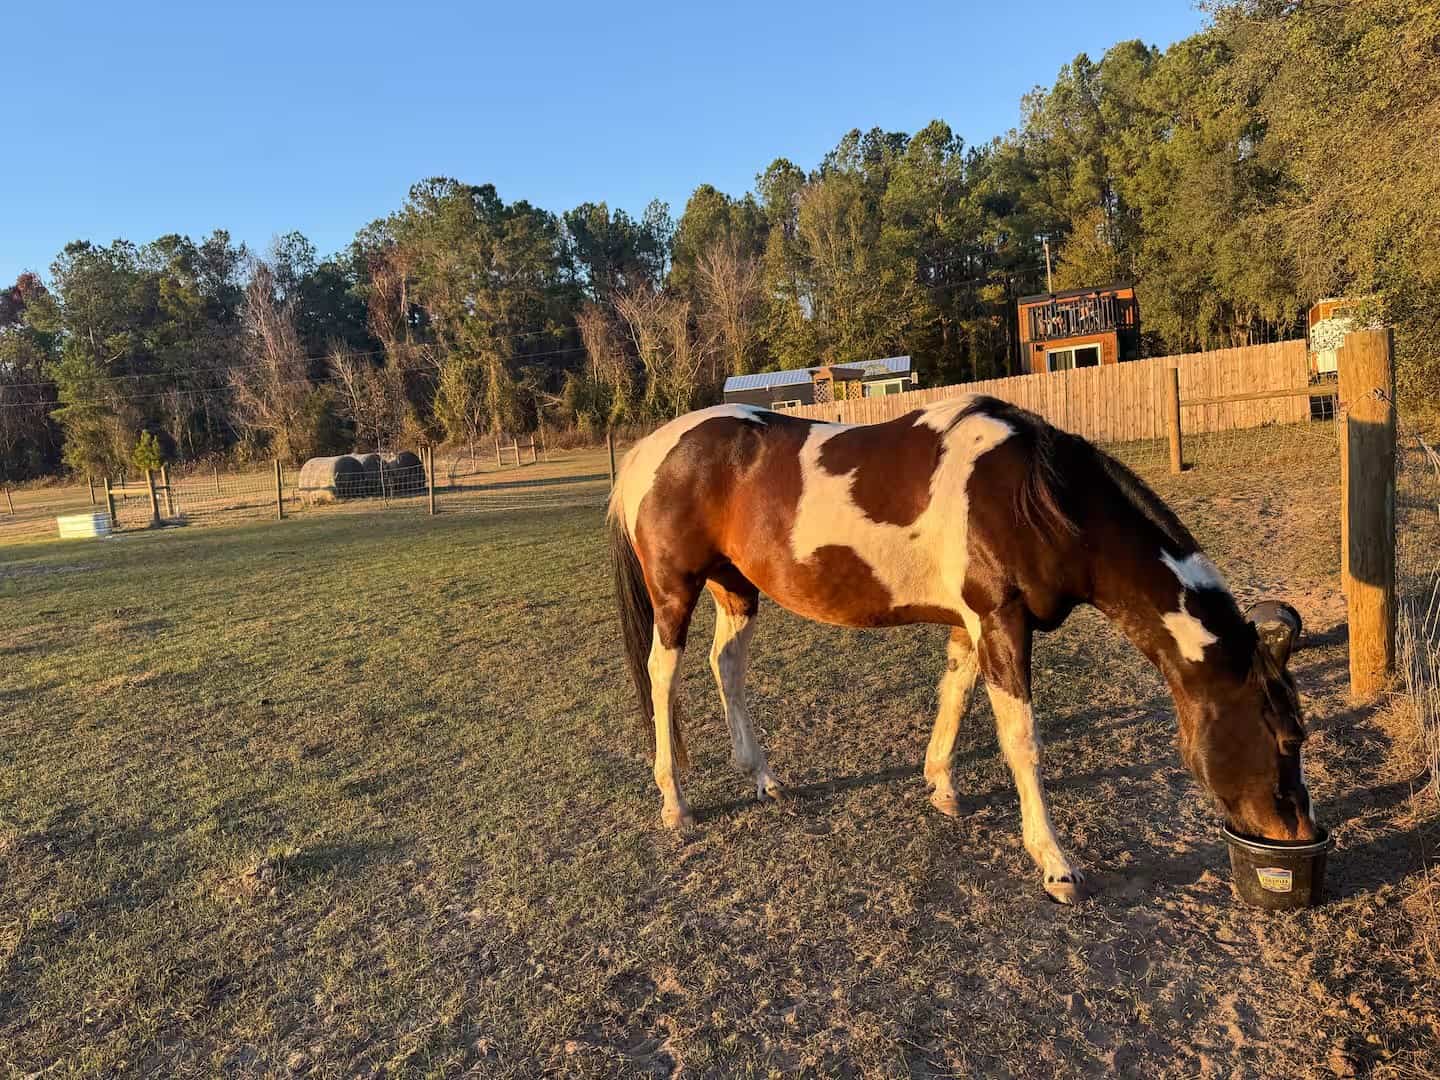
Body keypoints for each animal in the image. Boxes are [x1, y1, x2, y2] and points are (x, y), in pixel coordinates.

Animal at [607, 395, 1315, 904]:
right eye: (1287, 737)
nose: (1297, 834)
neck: (1038, 498)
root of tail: (651, 450)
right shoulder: (1001, 620)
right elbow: (1021, 740)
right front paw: (1054, 864)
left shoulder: (972, 625)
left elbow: (955, 694)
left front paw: (941, 785)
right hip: (675, 594)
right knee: (663, 676)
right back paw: (675, 800)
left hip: (736, 588)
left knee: (726, 667)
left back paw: (761, 776)